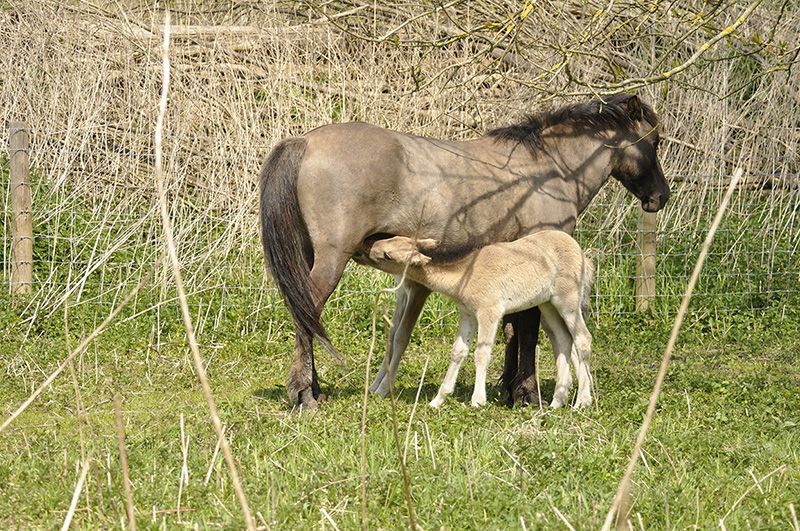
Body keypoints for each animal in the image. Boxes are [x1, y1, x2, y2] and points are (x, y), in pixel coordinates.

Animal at [368, 231, 592, 410]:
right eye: (394, 238)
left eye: (387, 254)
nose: (371, 247)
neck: (465, 275)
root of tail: (580, 252)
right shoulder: (468, 314)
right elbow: (458, 352)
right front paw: (437, 400)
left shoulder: (489, 312)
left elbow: (482, 353)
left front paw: (478, 400)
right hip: (548, 304)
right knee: (564, 340)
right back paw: (557, 402)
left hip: (568, 300)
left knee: (583, 339)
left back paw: (581, 402)